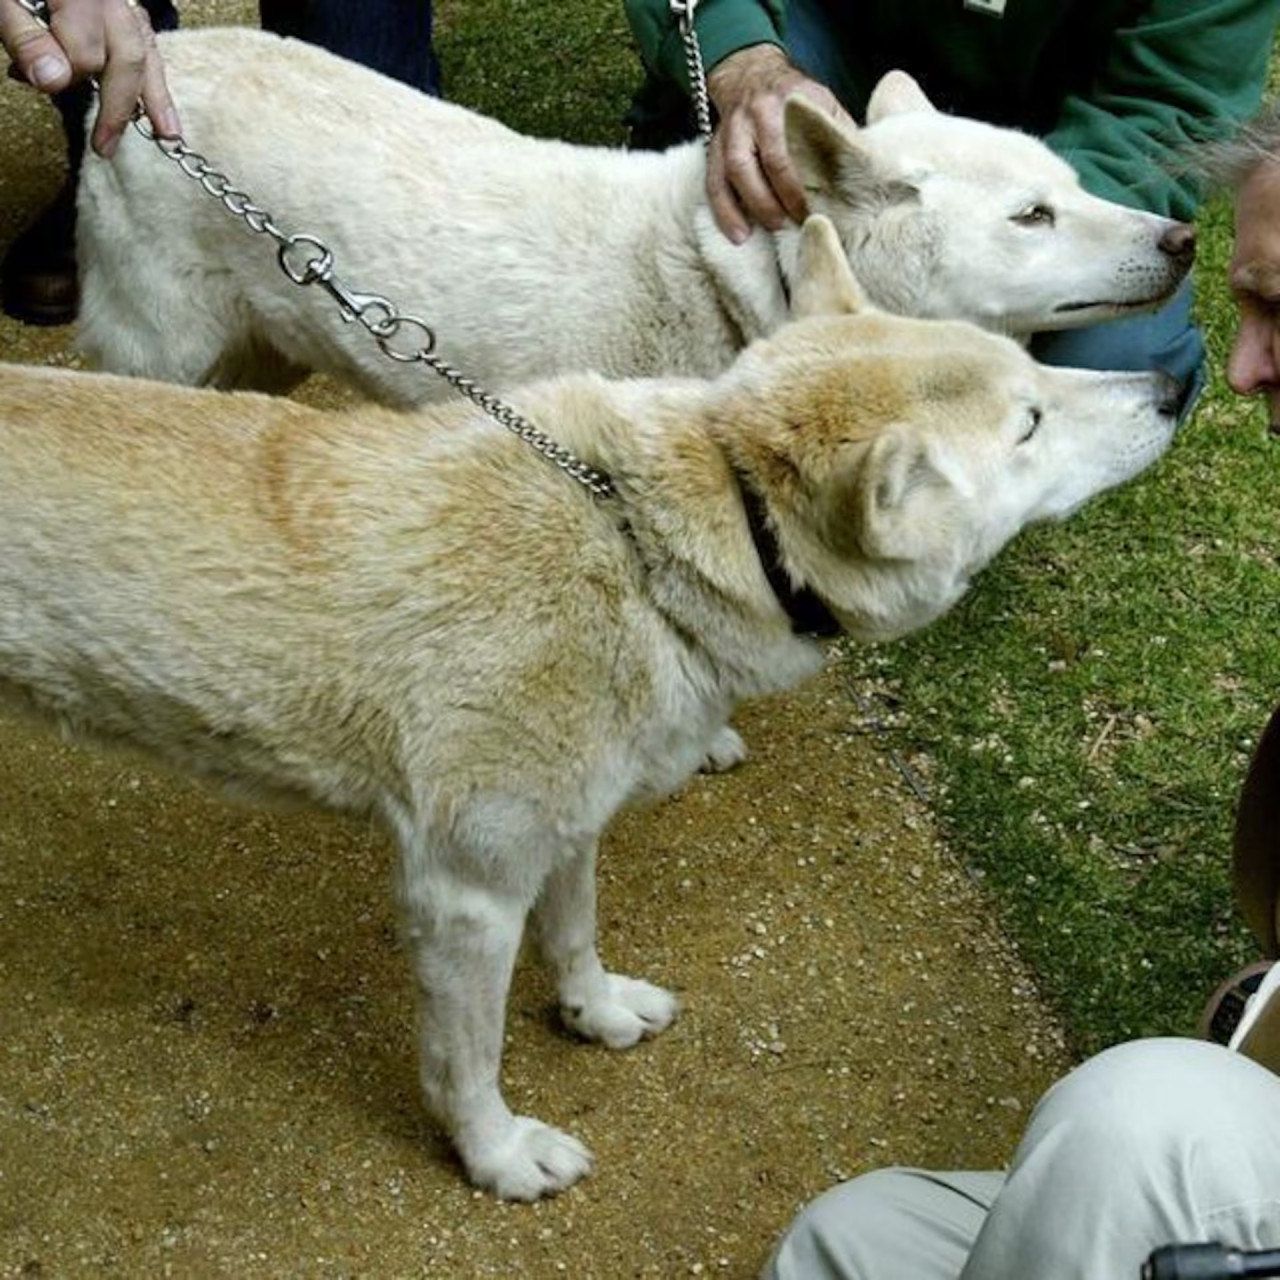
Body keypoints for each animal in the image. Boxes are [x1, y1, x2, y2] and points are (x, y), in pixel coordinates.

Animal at [2, 217, 1177, 1198]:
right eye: (1029, 421)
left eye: (1031, 368)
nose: (1170, 387)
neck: (644, 547)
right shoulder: (463, 888)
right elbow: (468, 1060)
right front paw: (496, 1155)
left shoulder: (566, 823)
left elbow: (573, 936)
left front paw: (595, 1012)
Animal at [74, 26, 1192, 404]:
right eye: (1032, 217)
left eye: (1073, 186)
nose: (1183, 239)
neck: (753, 295)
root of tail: (148, 70)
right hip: (159, 346)